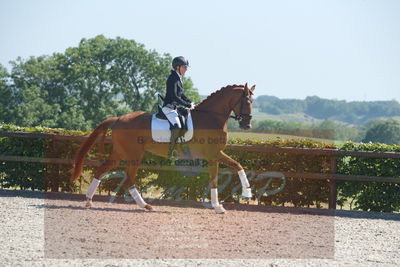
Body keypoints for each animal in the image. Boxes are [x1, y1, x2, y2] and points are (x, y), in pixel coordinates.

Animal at [70, 82, 255, 215]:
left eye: (252, 102)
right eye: (246, 101)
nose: (247, 125)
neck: (211, 117)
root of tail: (119, 118)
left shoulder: (217, 153)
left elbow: (238, 165)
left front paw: (246, 193)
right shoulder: (213, 155)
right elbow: (215, 180)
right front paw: (218, 206)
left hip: (120, 153)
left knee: (102, 170)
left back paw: (89, 200)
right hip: (133, 154)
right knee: (128, 179)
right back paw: (145, 206)